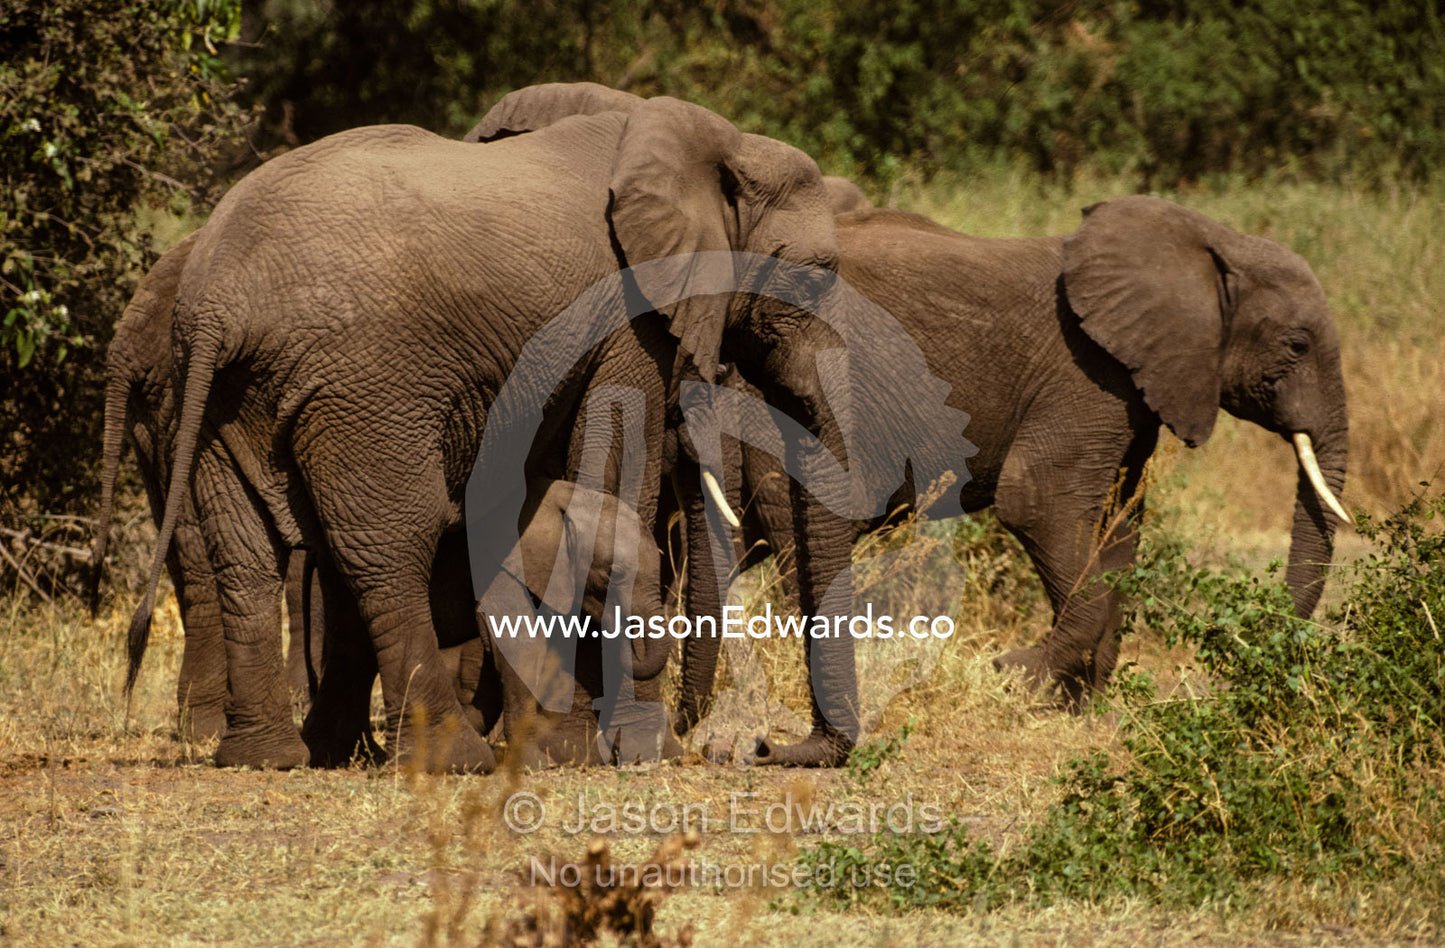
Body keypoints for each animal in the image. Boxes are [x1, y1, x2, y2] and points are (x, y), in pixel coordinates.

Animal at [125, 84, 857, 773]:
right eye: (815, 276)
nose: (765, 749)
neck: (713, 141)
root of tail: (217, 301)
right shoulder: (625, 320)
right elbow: (620, 466)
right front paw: (628, 748)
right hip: (367, 388)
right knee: (388, 547)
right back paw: (453, 759)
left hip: (221, 395)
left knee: (249, 555)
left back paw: (276, 756)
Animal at [678, 197, 1349, 723]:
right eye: (1297, 345)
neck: (1207, 242)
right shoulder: (1087, 375)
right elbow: (1038, 501)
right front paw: (1017, 676)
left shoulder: (1130, 394)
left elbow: (1119, 525)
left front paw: (1083, 707)